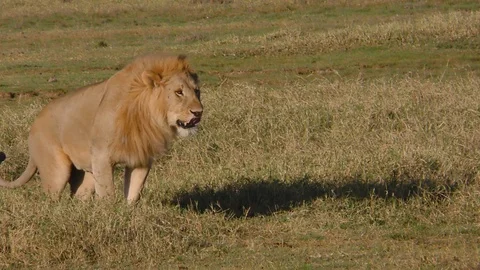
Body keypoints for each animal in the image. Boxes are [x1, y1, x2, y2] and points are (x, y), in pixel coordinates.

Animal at [0, 53, 202, 204]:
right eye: (178, 92)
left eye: (197, 91)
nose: (198, 112)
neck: (146, 115)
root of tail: (35, 122)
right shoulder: (102, 156)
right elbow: (107, 194)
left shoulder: (140, 157)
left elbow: (133, 193)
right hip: (57, 170)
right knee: (51, 198)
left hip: (86, 173)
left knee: (78, 197)